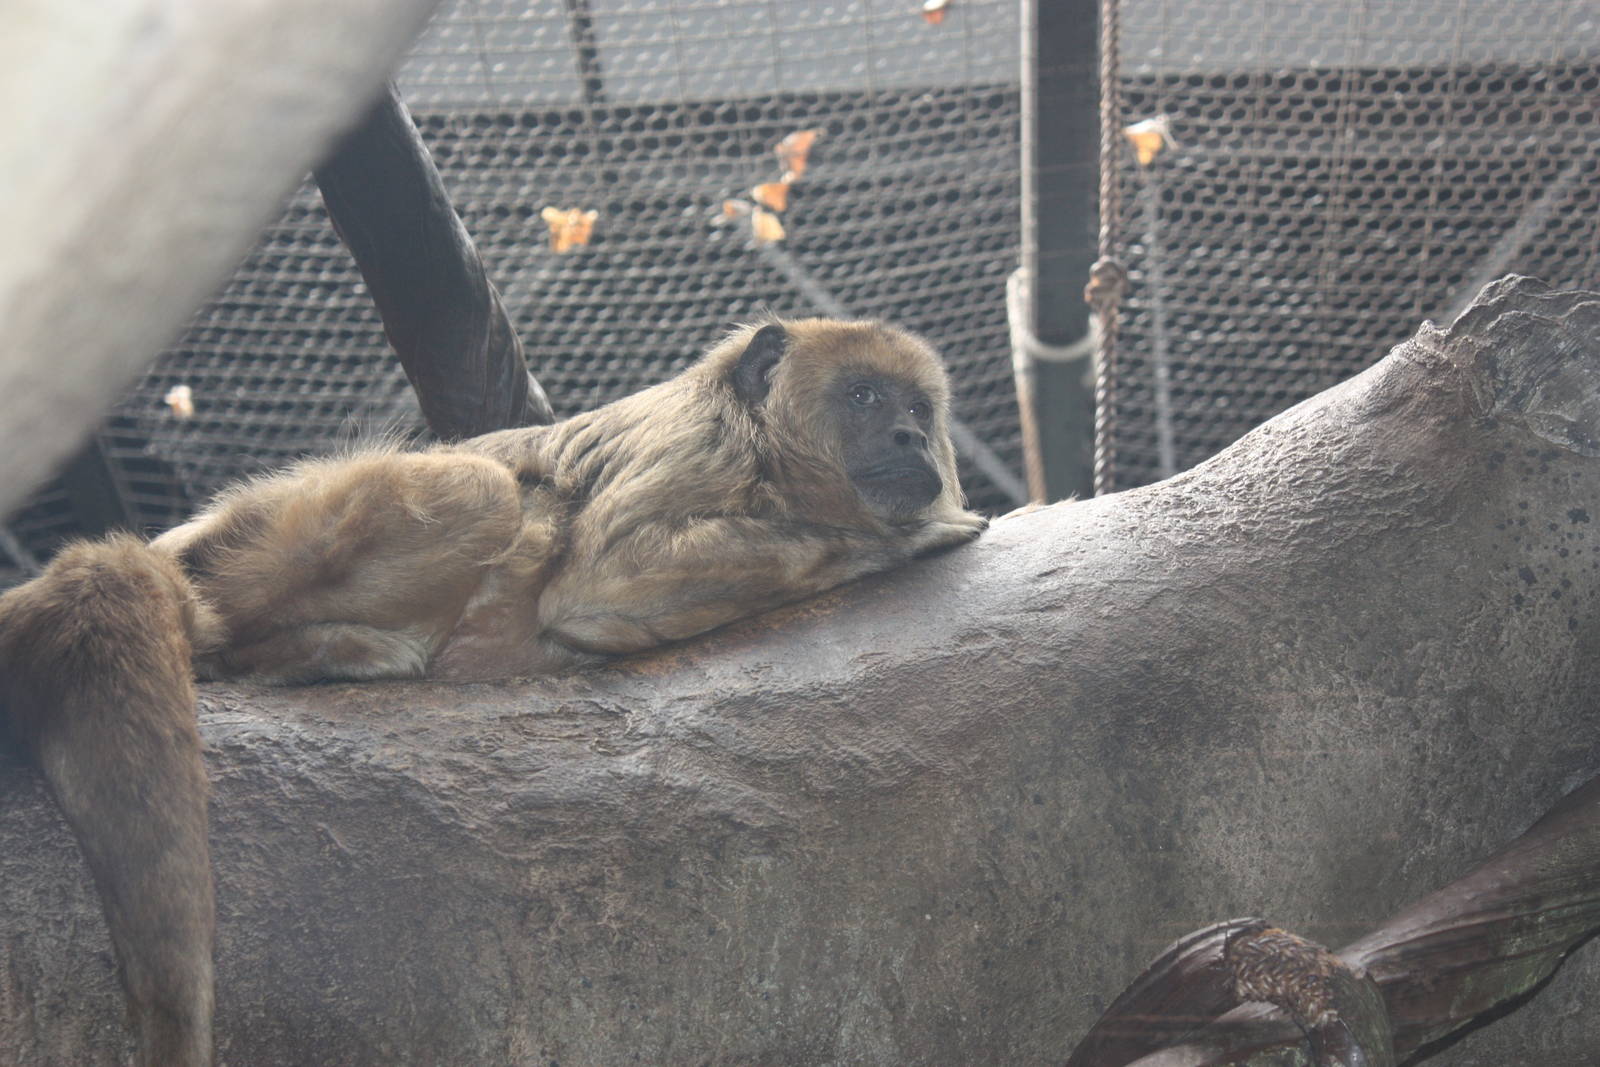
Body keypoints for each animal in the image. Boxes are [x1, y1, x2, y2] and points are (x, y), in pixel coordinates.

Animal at [0, 317, 985, 1065]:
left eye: (917, 408)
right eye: (864, 398)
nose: (909, 437)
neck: (772, 458)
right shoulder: (693, 443)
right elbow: (605, 586)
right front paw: (915, 537)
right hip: (257, 547)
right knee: (483, 491)